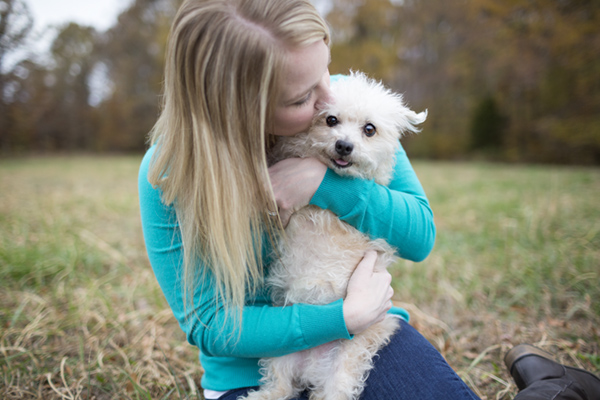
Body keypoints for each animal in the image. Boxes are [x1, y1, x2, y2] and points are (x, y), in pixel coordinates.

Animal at [243, 72, 426, 400]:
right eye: (331, 120)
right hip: (280, 356)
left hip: (344, 366)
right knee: (279, 387)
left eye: (369, 129)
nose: (343, 145)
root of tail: (311, 368)